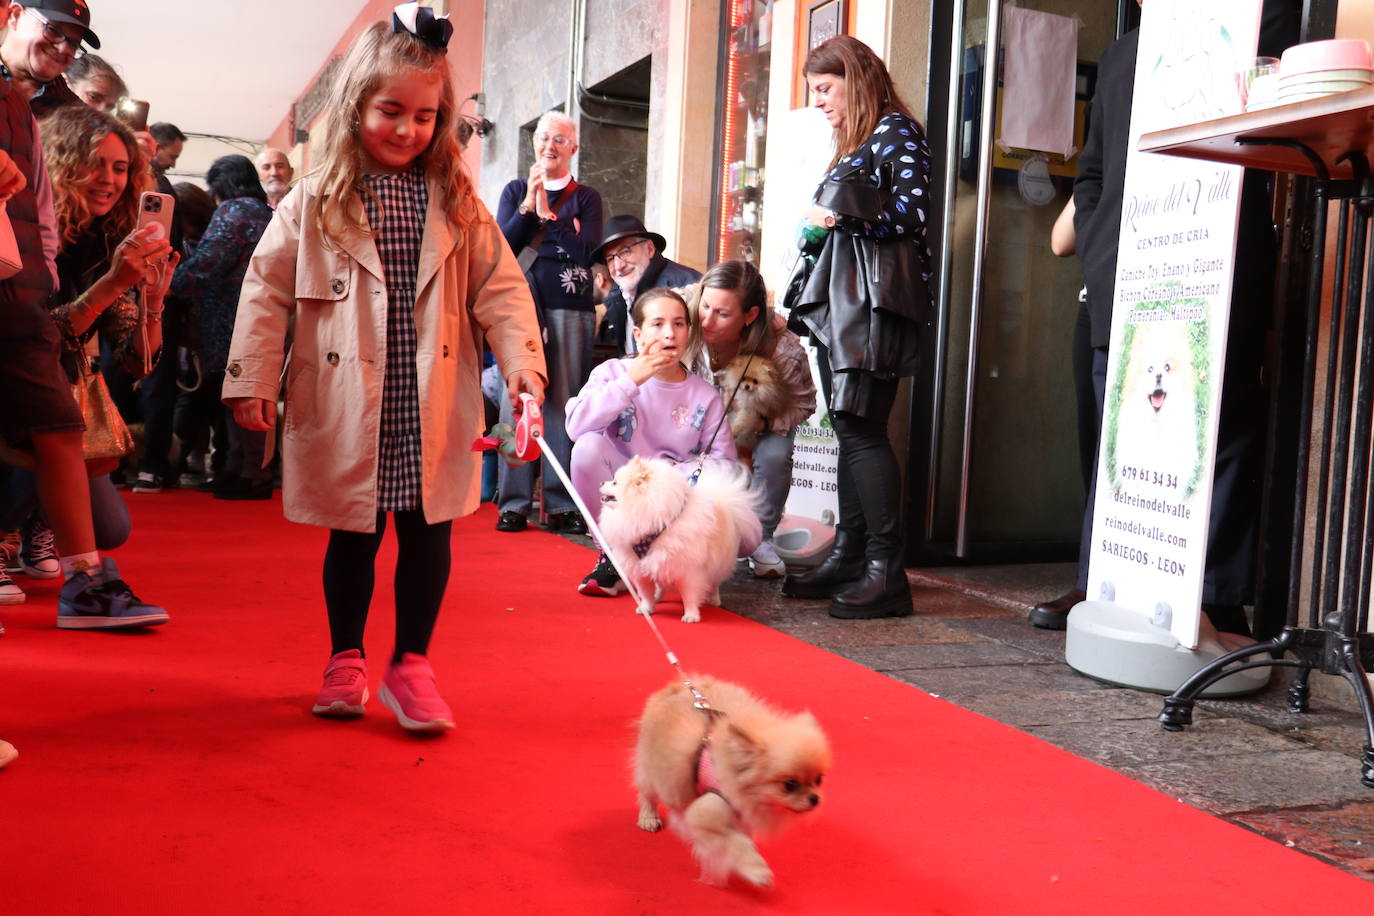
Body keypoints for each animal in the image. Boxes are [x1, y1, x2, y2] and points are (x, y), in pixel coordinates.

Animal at [596, 455, 763, 623]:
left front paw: (691, 615)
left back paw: (714, 599)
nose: (601, 482)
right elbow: (645, 593)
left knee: (715, 581)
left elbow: (690, 595)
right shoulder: (640, 567)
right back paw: (658, 596)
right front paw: (647, 608)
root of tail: (722, 500)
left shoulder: (688, 569)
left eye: (615, 482)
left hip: (718, 561)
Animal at [629, 672, 824, 889]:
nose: (815, 798)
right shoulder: (706, 813)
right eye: (789, 785)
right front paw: (756, 871)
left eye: (819, 779)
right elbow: (737, 842)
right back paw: (648, 818)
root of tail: (676, 689)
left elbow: (743, 837)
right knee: (647, 791)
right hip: (654, 769)